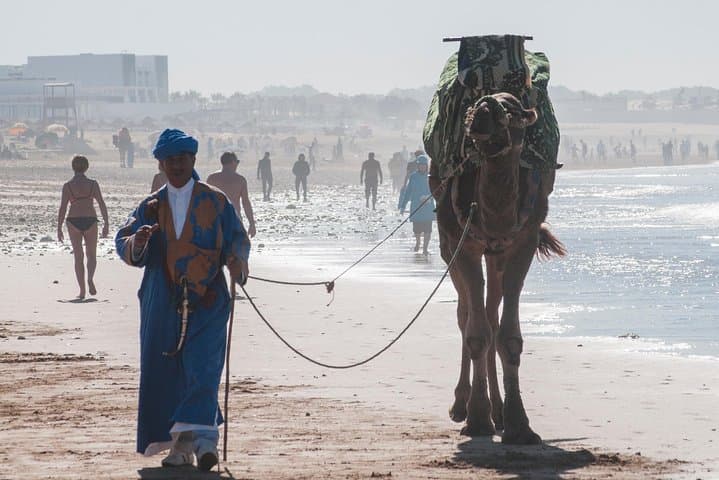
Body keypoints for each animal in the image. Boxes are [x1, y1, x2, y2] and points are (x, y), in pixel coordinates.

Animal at [428, 92, 566, 444]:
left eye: (512, 109)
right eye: (477, 104)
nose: (481, 112)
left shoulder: (522, 243)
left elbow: (508, 336)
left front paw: (519, 424)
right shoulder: (463, 245)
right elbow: (476, 332)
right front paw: (477, 419)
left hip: (496, 255)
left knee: (490, 315)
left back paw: (499, 411)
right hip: (451, 249)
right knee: (467, 314)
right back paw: (462, 405)